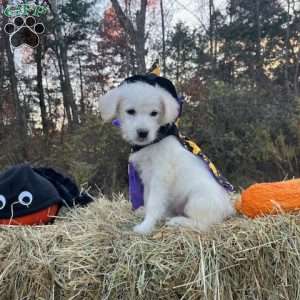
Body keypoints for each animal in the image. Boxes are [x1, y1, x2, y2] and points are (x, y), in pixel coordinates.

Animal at [99, 77, 236, 234]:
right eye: (130, 111)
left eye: (154, 113)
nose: (143, 132)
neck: (153, 142)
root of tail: (229, 208)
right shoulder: (147, 178)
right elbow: (147, 198)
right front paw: (145, 213)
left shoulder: (160, 176)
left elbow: (153, 203)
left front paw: (146, 227)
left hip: (197, 199)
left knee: (202, 224)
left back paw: (178, 221)